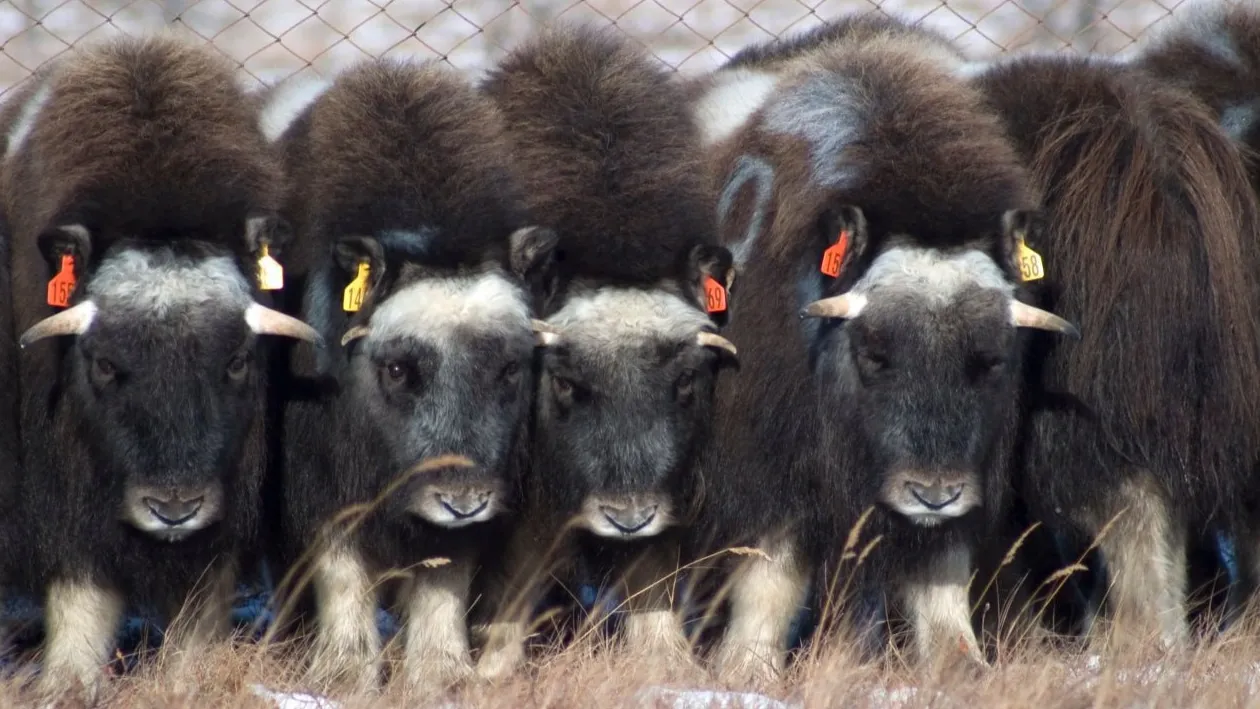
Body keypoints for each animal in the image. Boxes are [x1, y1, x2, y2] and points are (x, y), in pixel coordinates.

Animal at [0, 34, 320, 700]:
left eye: (236, 361)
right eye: (103, 365)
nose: (174, 509)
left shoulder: (228, 504)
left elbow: (201, 599)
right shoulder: (64, 486)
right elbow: (81, 589)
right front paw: (68, 687)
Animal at [263, 61, 554, 695]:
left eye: (510, 368)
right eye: (398, 369)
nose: (463, 500)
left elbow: (446, 574)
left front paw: (441, 675)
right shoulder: (323, 483)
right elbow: (341, 568)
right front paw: (345, 675)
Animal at [473, 27, 735, 680]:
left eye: (685, 382)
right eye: (567, 384)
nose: (627, 517)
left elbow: (653, 576)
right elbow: (518, 573)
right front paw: (493, 669)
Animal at [690, 19, 1073, 680]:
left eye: (990, 362)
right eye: (874, 356)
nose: (934, 493)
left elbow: (941, 577)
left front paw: (961, 666)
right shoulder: (771, 463)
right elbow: (770, 575)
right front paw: (747, 671)